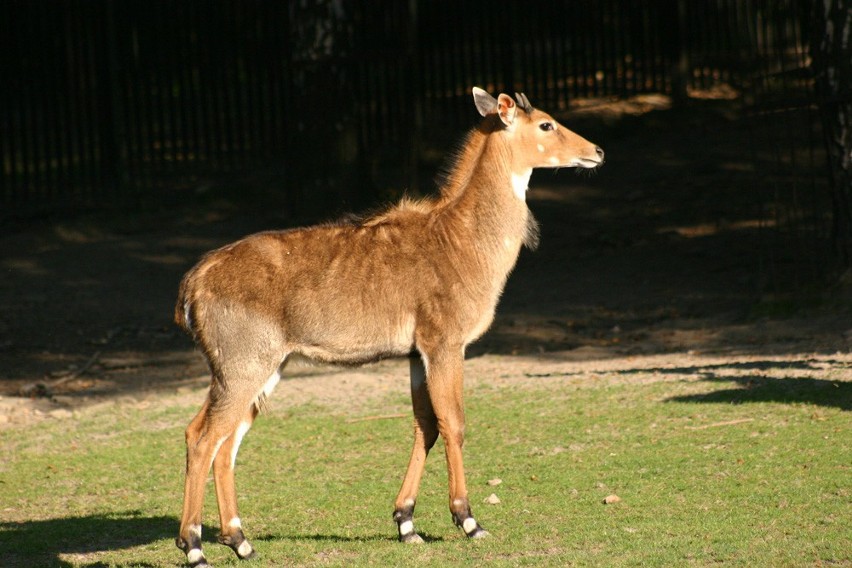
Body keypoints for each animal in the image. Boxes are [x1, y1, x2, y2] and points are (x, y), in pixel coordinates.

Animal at [175, 86, 600, 564]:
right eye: (546, 124)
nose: (597, 151)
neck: (463, 238)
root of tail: (193, 284)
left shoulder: (416, 353)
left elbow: (425, 425)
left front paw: (406, 522)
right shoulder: (445, 342)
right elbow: (454, 423)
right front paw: (468, 520)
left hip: (263, 369)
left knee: (223, 442)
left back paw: (240, 540)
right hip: (242, 366)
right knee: (202, 437)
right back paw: (194, 545)